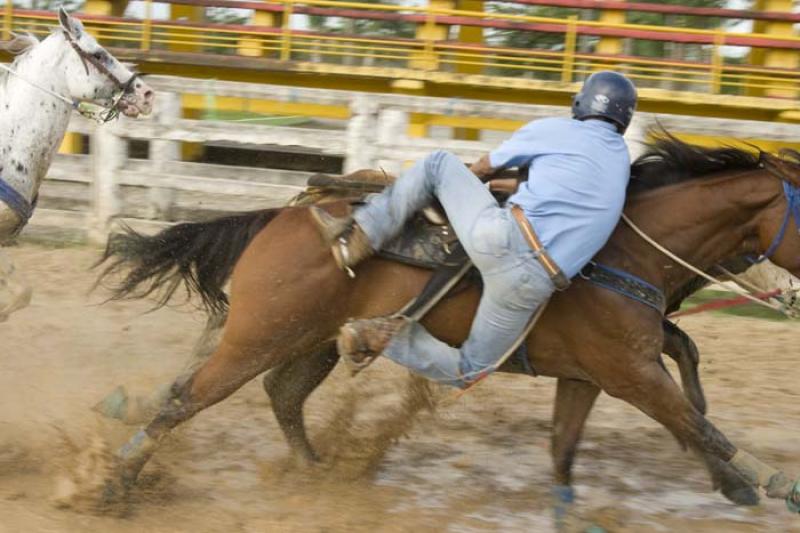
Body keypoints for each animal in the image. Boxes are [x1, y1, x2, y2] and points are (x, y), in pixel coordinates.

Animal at [98, 137, 800, 512]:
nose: (787, 294)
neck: (623, 250)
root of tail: (283, 216)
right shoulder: (628, 372)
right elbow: (697, 422)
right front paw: (765, 482)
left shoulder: (593, 375)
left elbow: (577, 446)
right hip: (259, 336)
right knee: (187, 398)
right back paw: (115, 486)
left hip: (304, 340)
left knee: (279, 395)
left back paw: (318, 470)